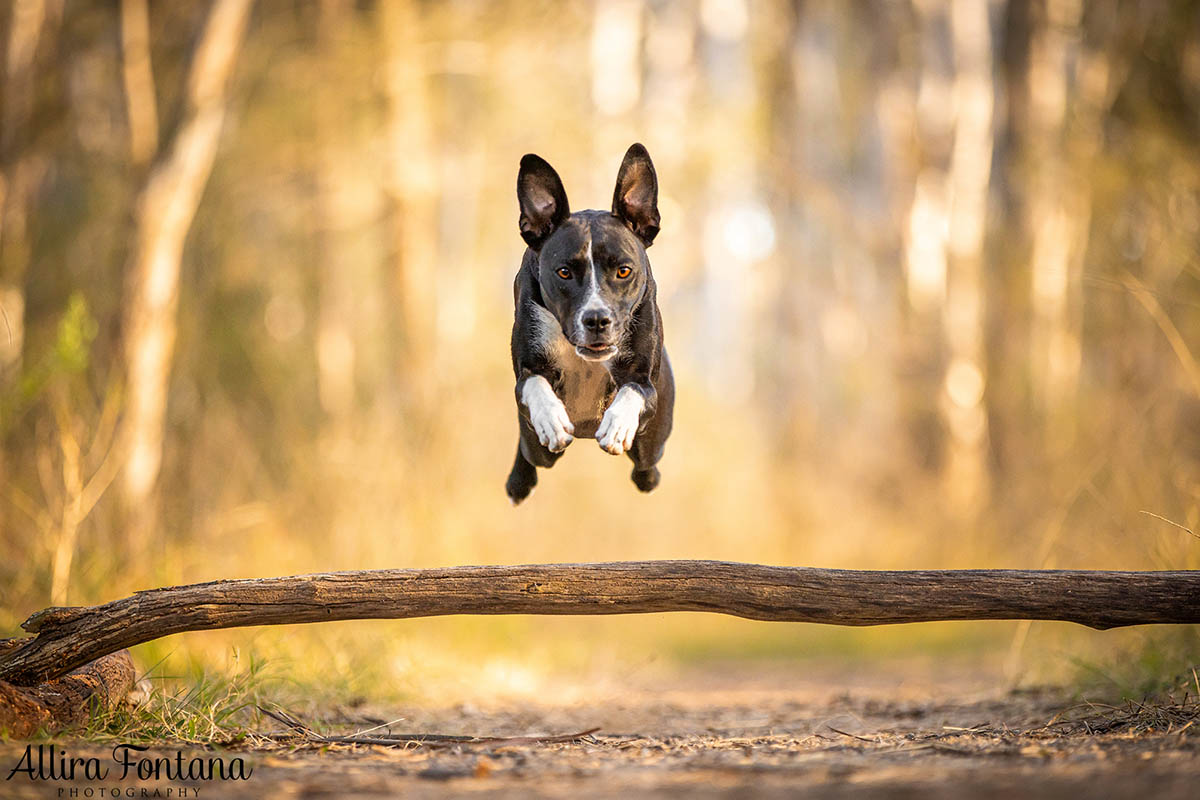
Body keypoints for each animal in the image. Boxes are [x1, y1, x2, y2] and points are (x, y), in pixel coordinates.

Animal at [504, 142, 676, 506]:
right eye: (564, 272)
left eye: (624, 271)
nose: (596, 319)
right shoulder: (526, 372)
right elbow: (534, 383)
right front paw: (551, 419)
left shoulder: (645, 382)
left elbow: (632, 390)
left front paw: (617, 425)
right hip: (536, 448)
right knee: (530, 452)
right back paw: (519, 482)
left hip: (651, 446)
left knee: (647, 468)